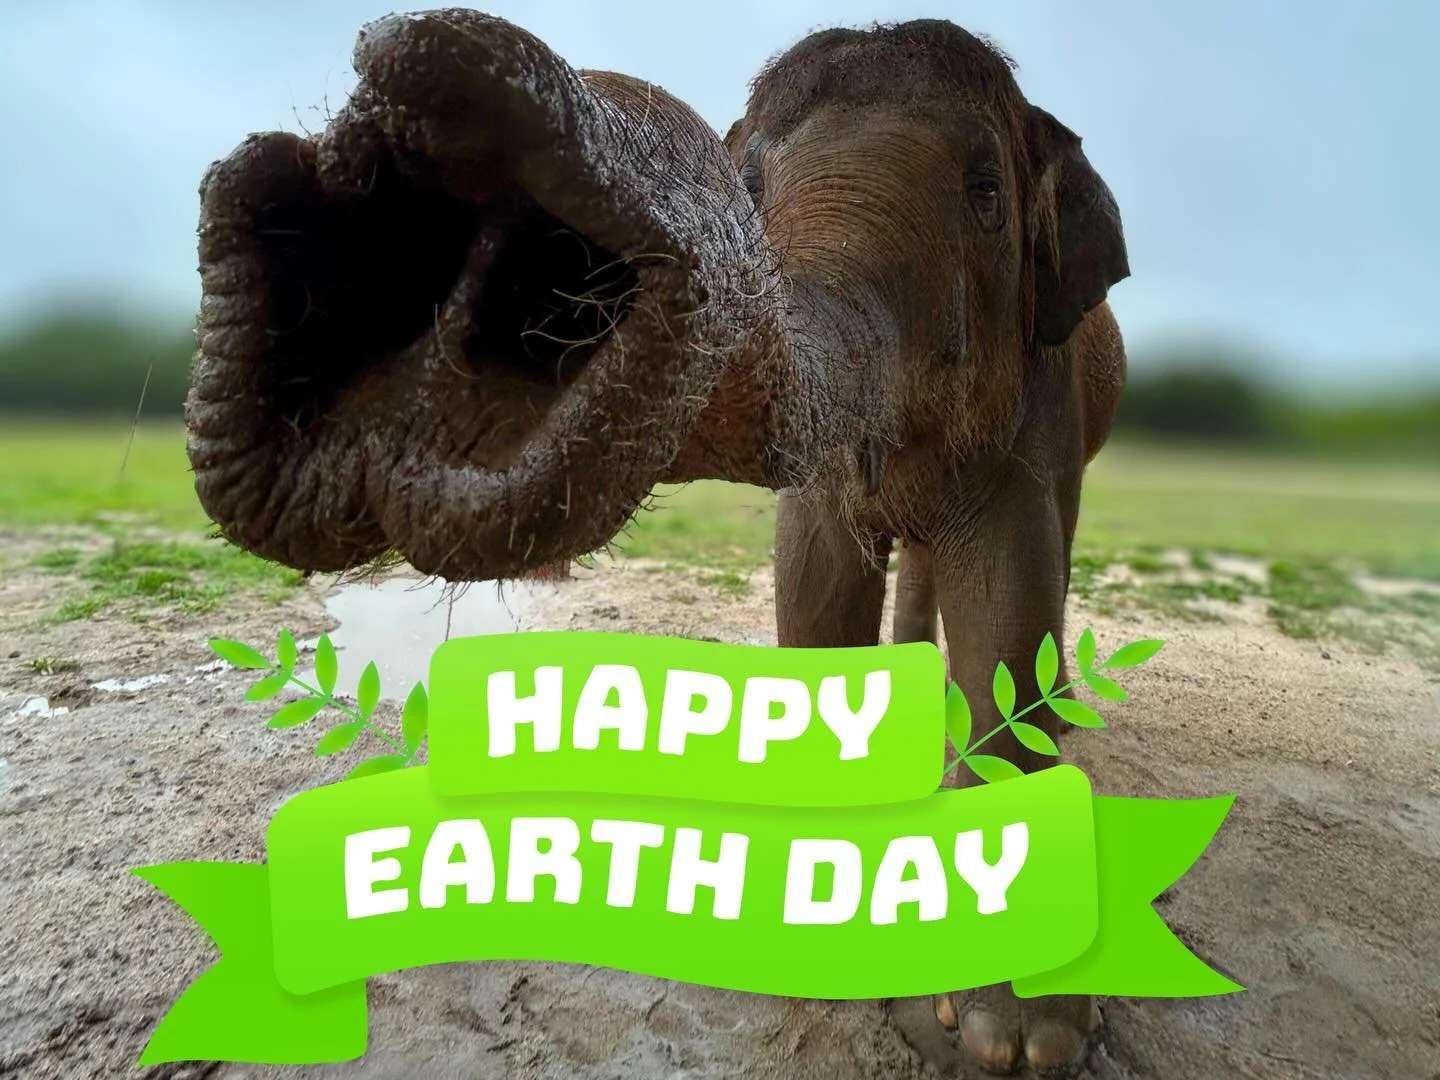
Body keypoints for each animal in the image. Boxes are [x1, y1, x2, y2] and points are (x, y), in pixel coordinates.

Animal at [185, 10, 1129, 1075]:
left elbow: (1011, 600)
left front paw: (1012, 1038)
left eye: (986, 194)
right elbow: (815, 576)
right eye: (749, 186)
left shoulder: (1041, 396)